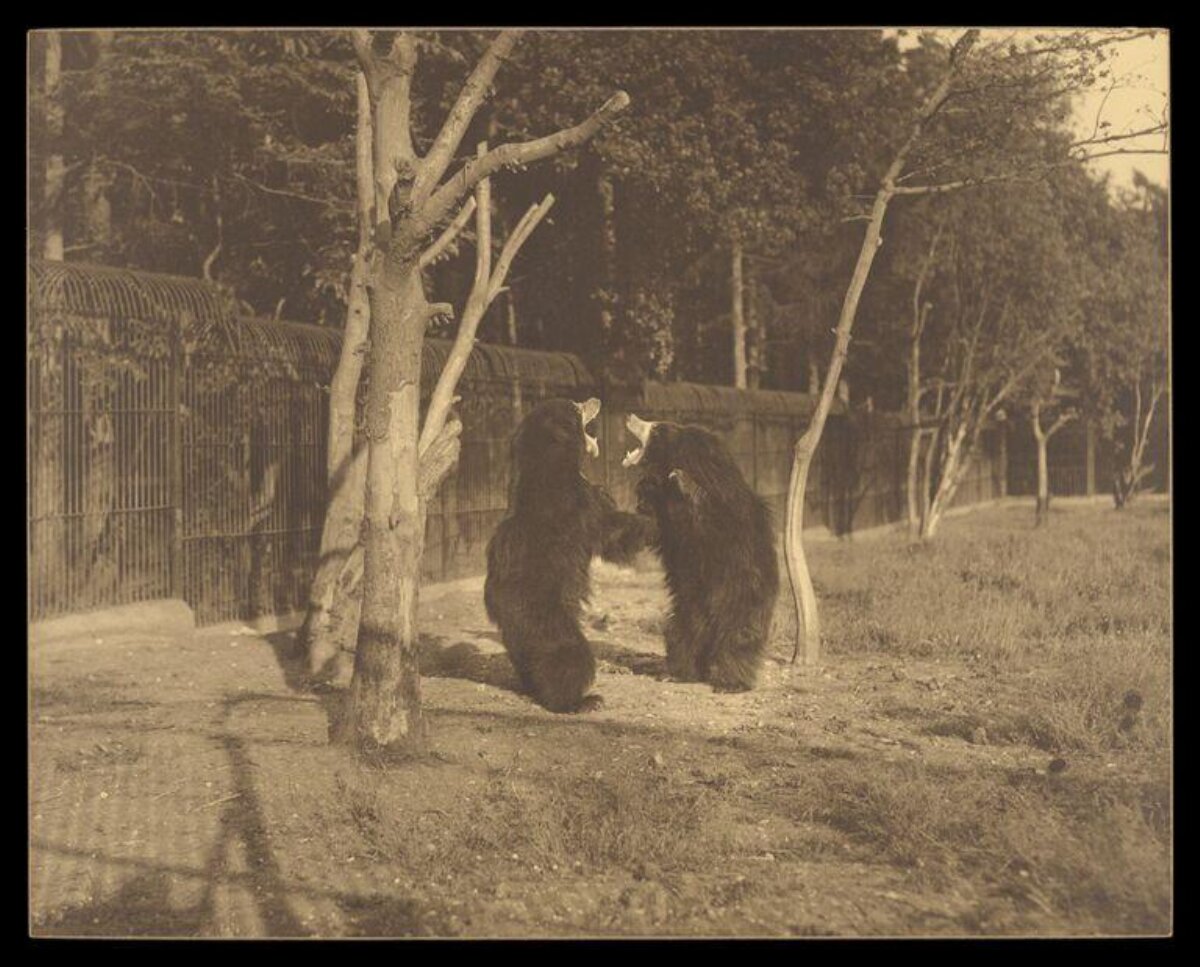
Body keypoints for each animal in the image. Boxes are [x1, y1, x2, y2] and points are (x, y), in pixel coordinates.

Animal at [484, 398, 654, 713]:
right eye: (575, 408)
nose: (595, 399)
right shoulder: (579, 504)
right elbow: (611, 529)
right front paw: (655, 521)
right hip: (550, 622)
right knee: (571, 659)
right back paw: (582, 700)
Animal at [622, 414, 779, 691]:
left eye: (655, 428)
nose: (630, 416)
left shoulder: (722, 501)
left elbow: (711, 510)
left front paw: (680, 478)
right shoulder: (665, 516)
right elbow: (653, 518)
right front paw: (644, 489)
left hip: (743, 594)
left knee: (737, 638)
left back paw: (729, 681)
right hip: (688, 604)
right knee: (683, 634)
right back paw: (681, 672)